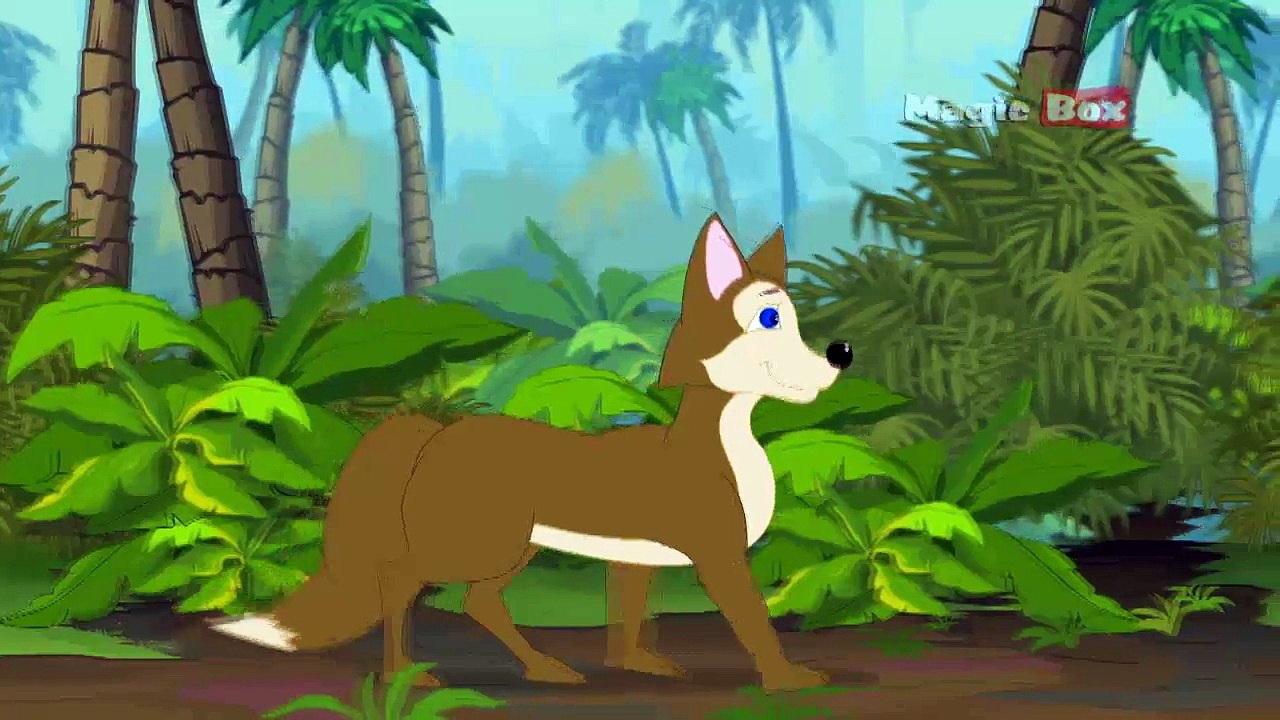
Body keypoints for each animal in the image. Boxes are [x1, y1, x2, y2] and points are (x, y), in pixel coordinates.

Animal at [209, 213, 853, 692]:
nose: (840, 354)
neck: (719, 450)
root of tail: (435, 428)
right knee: (405, 584)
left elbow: (630, 617)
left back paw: (542, 668)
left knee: (479, 603)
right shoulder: (718, 557)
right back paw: (406, 676)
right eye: (770, 318)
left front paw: (635, 665)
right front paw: (786, 680)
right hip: (477, 544)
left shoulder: (635, 559)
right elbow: (755, 623)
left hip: (513, 548)